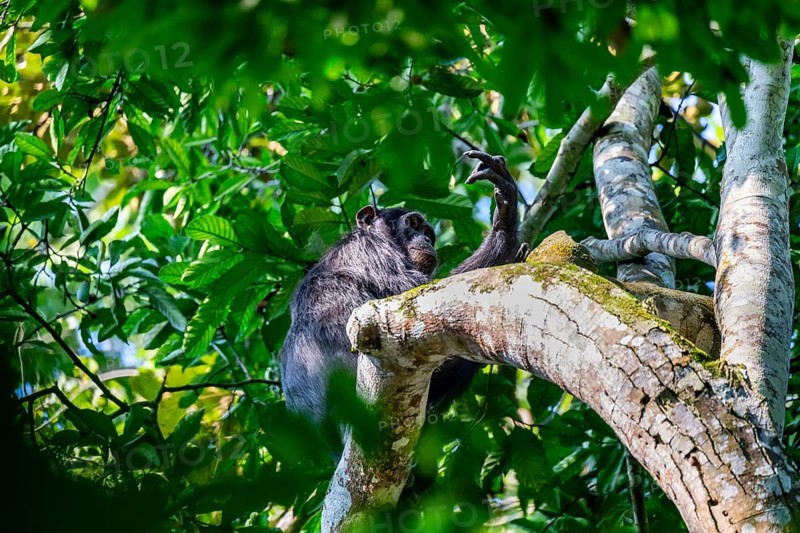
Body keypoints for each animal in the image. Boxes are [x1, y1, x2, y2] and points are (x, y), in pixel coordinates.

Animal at [280, 151, 525, 449]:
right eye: (414, 224)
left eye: (429, 234)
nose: (426, 240)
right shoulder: (372, 251)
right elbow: (415, 294)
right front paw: (505, 216)